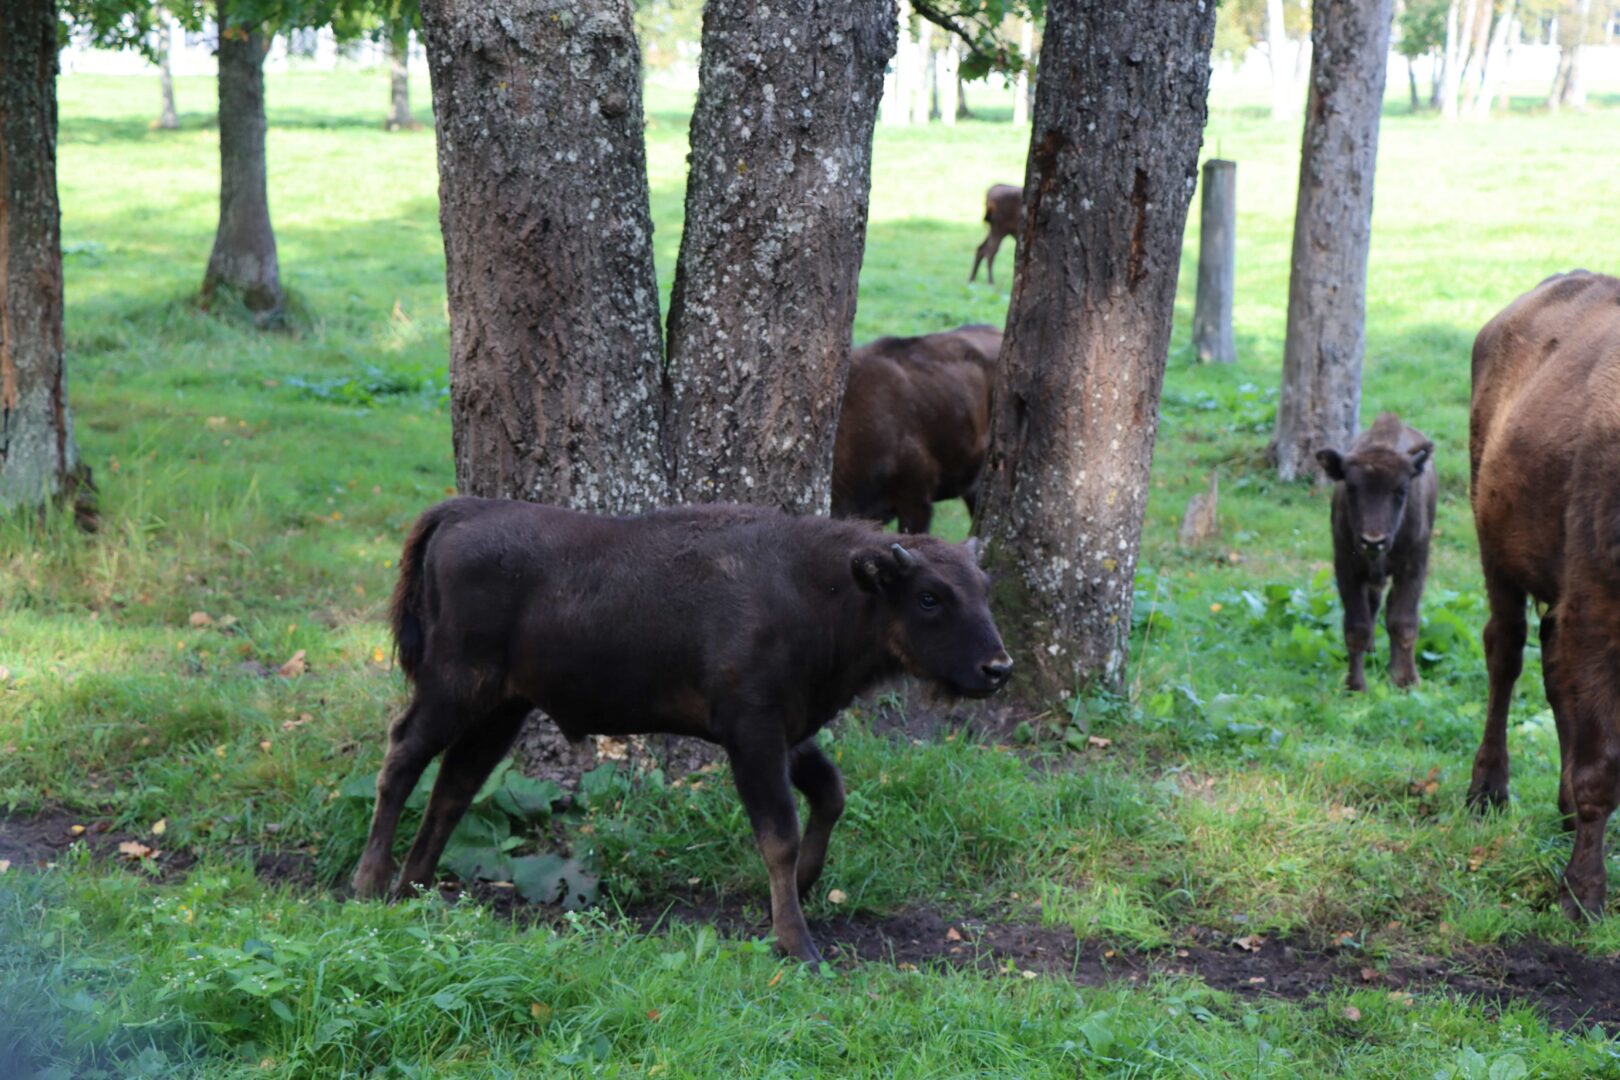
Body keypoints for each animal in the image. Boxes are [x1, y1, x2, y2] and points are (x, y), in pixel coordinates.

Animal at [354, 498, 1010, 965]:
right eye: (929, 597)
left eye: (984, 590)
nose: (998, 669)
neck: (816, 586)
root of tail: (460, 511)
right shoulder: (753, 734)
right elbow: (779, 833)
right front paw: (798, 944)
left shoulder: (789, 735)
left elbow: (830, 795)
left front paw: (803, 887)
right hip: (454, 689)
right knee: (403, 756)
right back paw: (370, 884)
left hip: (501, 708)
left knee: (455, 782)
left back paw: (416, 887)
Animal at [1315, 409, 1445, 696]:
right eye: (1351, 487)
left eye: (1402, 490)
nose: (1373, 541)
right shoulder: (1347, 568)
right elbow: (1357, 627)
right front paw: (1355, 686)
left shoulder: (1413, 568)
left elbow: (1403, 621)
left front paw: (1405, 681)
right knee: (1375, 605)